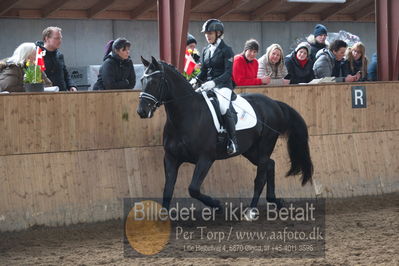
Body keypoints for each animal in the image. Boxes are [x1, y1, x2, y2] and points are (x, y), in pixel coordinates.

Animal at [139, 57, 314, 211]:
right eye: (142, 80)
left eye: (154, 82)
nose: (142, 111)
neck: (186, 115)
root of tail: (273, 103)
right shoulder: (171, 158)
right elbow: (167, 190)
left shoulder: (205, 158)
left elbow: (193, 189)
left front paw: (217, 204)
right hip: (250, 150)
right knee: (270, 165)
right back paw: (276, 202)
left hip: (265, 145)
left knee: (260, 176)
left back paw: (251, 210)